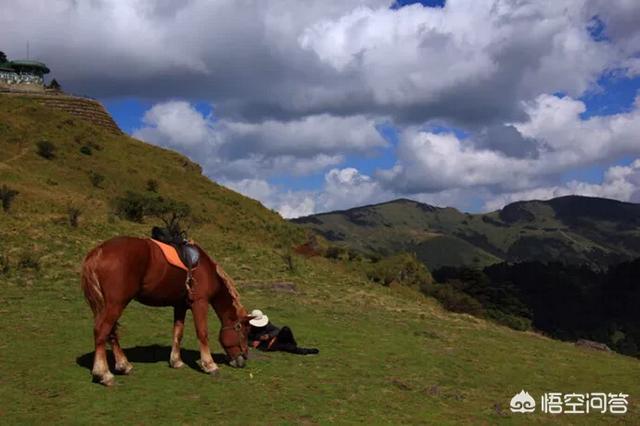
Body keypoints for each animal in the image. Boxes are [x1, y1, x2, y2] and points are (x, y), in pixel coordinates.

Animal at [80, 236, 250, 386]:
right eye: (243, 333)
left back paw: (124, 365)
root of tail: (98, 251)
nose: (243, 360)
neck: (206, 269)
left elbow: (178, 333)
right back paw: (103, 373)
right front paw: (209, 365)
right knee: (102, 331)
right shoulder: (200, 303)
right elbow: (202, 333)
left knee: (111, 333)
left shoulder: (180, 306)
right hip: (115, 304)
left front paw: (176, 361)